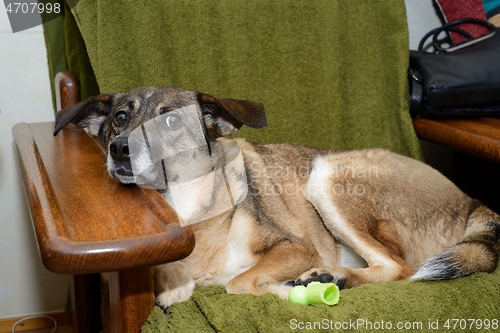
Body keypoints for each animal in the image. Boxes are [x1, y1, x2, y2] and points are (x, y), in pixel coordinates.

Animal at [53, 85, 500, 308]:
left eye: (173, 121)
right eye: (120, 118)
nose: (120, 149)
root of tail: (471, 202)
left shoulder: (296, 247)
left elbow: (239, 283)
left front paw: (290, 289)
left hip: (326, 176)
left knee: (399, 268)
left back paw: (335, 277)